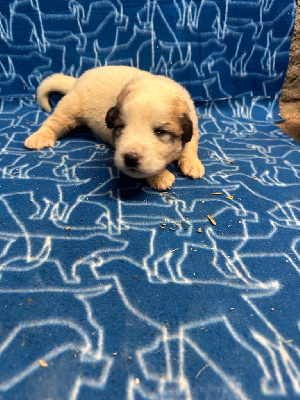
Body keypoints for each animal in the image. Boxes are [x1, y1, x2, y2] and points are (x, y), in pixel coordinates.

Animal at [25, 65, 205, 191]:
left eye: (160, 132)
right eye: (121, 127)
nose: (130, 158)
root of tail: (78, 80)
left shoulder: (193, 125)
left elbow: (191, 145)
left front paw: (193, 164)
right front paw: (160, 177)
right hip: (71, 107)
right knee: (55, 122)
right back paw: (39, 138)